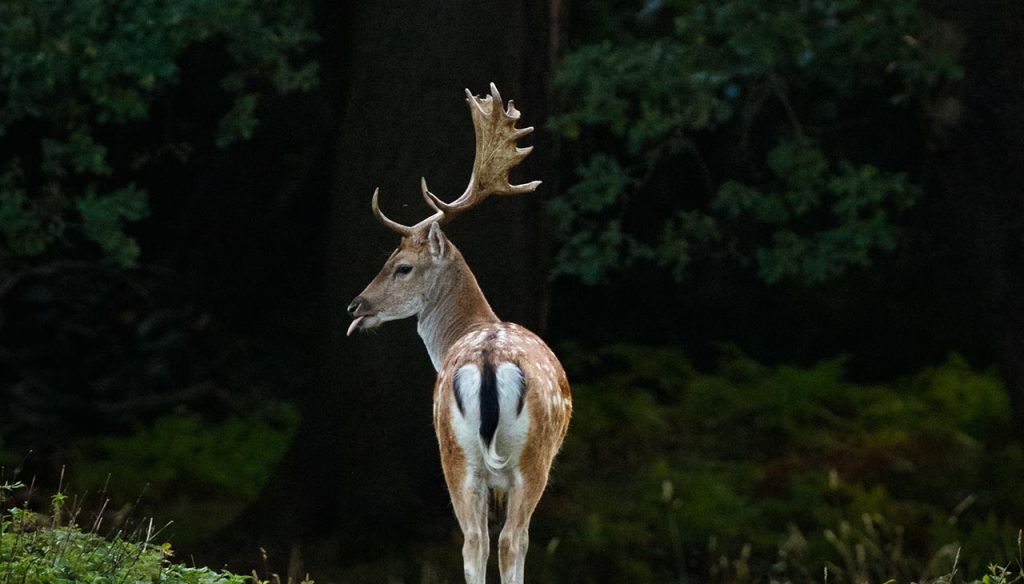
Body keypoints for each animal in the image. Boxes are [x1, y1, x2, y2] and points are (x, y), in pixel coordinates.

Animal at [345, 84, 571, 584]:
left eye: (401, 266)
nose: (356, 306)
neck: (474, 326)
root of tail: (487, 359)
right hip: (520, 459)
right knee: (505, 541)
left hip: (461, 455)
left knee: (481, 541)